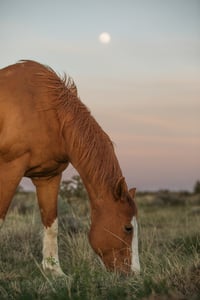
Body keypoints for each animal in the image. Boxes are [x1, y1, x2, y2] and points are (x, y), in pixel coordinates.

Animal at [0, 59, 140, 276]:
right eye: (127, 228)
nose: (136, 273)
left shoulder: (48, 176)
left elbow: (52, 223)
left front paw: (54, 271)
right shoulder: (9, 169)